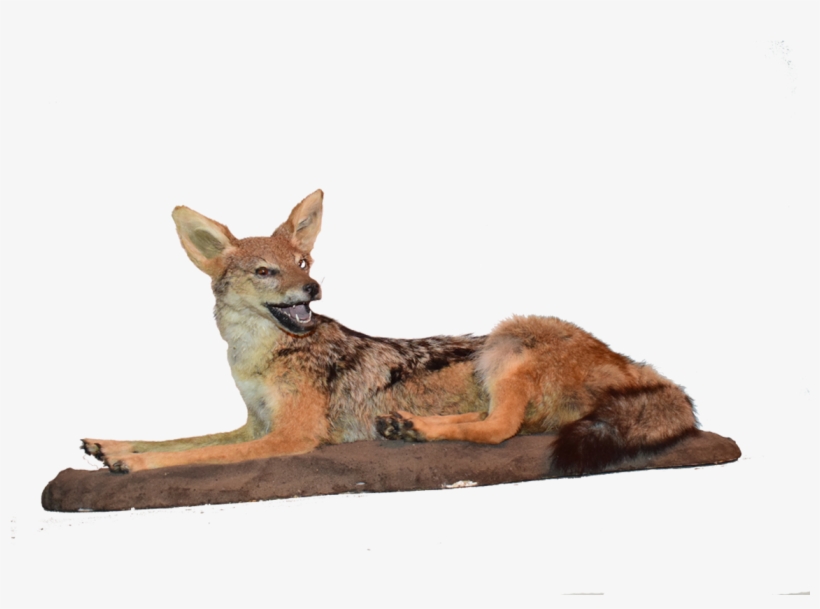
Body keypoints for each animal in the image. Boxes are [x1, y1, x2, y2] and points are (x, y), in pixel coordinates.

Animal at [82, 189, 697, 476]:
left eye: (302, 262)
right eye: (265, 272)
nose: (313, 290)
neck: (256, 357)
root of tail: (631, 363)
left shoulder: (286, 438)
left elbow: (196, 455)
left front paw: (134, 466)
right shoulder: (252, 425)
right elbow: (180, 440)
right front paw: (111, 445)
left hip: (504, 339)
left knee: (500, 429)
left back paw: (413, 429)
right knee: (494, 423)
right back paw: (406, 427)